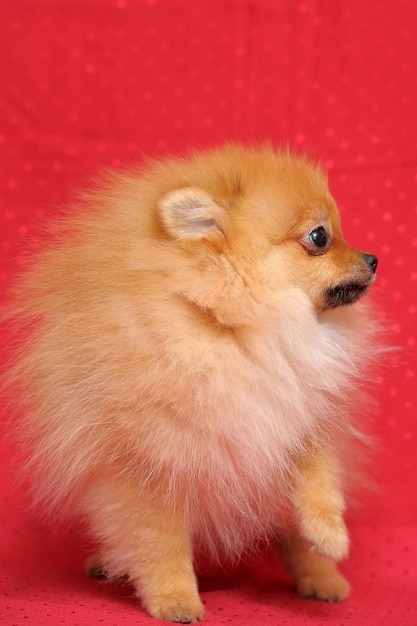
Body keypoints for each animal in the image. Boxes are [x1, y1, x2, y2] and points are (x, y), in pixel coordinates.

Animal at [4, 143, 380, 620]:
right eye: (319, 238)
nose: (373, 258)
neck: (243, 331)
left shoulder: (297, 415)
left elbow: (319, 479)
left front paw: (330, 532)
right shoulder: (147, 465)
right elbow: (159, 542)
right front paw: (175, 599)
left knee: (292, 537)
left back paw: (323, 578)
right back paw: (112, 564)